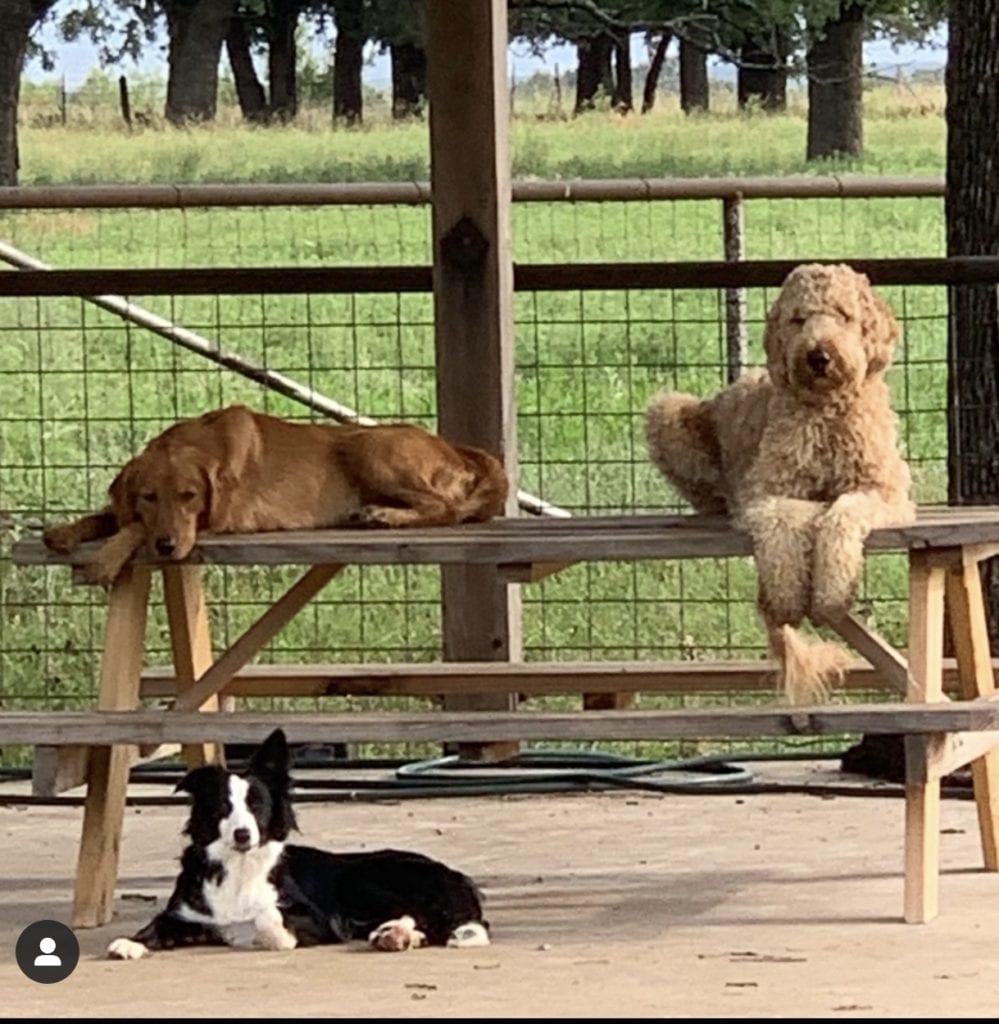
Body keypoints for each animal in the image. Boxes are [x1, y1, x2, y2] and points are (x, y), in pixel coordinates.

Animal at [41, 405, 507, 589]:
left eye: (189, 496)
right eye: (148, 496)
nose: (168, 546)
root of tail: (456, 449)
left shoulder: (222, 520)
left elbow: (132, 527)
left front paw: (105, 560)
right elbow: (111, 515)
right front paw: (66, 530)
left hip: (366, 445)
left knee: (444, 507)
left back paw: (383, 515)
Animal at [646, 262, 913, 704]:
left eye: (844, 315)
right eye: (799, 318)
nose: (819, 356)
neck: (825, 411)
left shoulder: (884, 492)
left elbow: (842, 517)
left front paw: (829, 590)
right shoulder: (767, 491)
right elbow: (784, 527)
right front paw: (789, 594)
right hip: (668, 409)